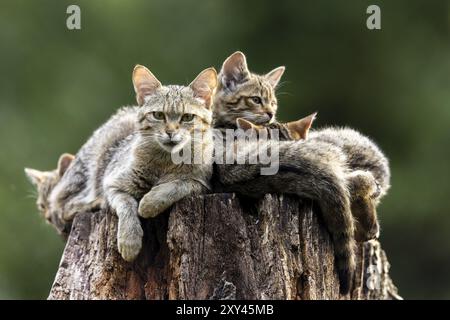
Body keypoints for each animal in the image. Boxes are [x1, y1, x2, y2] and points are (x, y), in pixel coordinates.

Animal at [102, 65, 216, 262]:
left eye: (187, 117)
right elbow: (126, 205)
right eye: (158, 115)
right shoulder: (112, 184)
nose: (170, 132)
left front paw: (149, 203)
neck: (166, 161)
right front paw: (129, 240)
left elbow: (177, 185)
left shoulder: (202, 184)